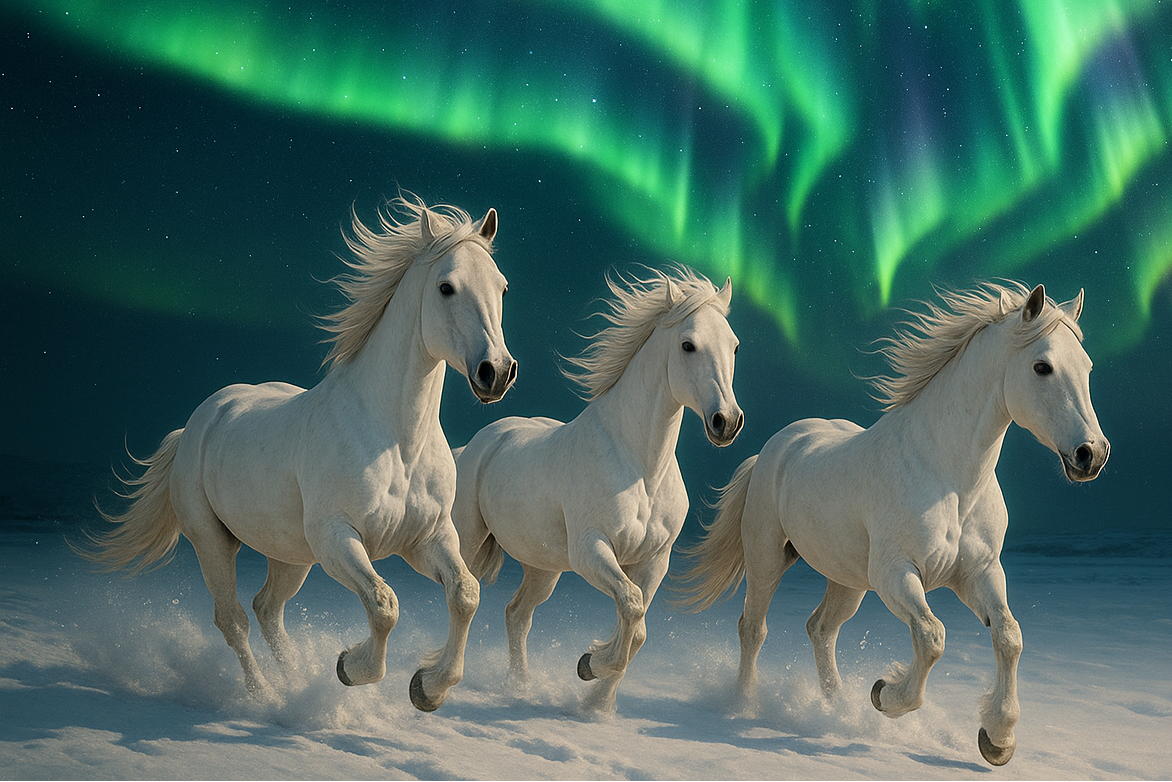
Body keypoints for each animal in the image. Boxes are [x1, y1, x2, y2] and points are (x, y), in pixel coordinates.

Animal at [76, 193, 518, 712]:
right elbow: (385, 605)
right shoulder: (337, 539)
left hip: (290, 554)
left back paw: (294, 683)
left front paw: (427, 688)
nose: (496, 372)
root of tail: (196, 425)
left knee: (267, 610)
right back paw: (266, 696)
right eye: (446, 287)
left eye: (502, 286)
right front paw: (350, 667)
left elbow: (465, 594)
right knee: (234, 620)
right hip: (213, 542)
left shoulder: (427, 537)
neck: (396, 442)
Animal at [451, 265, 743, 713]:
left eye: (734, 346)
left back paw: (520, 686)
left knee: (517, 614)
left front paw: (596, 697)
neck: (641, 469)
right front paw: (591, 664)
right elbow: (632, 606)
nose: (726, 422)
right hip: (470, 540)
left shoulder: (654, 561)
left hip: (544, 566)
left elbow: (638, 628)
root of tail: (475, 445)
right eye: (688, 345)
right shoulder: (592, 550)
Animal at [674, 281, 1109, 766]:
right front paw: (885, 694)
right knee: (753, 628)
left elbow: (1008, 636)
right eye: (1042, 367)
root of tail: (775, 446)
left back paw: (837, 710)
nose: (1092, 454)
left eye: (1087, 367)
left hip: (848, 580)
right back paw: (744, 704)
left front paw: (998, 739)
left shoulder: (979, 573)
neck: (948, 477)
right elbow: (932, 636)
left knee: (821, 629)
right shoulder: (895, 574)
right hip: (768, 558)